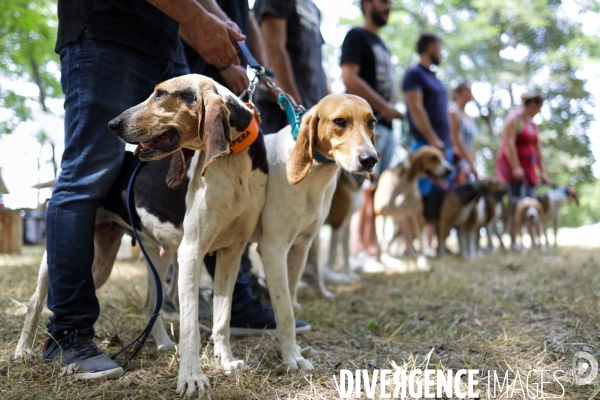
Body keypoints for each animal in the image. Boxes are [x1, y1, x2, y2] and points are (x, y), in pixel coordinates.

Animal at [109, 75, 268, 396]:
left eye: (160, 94)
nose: (113, 124)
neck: (233, 160)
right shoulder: (192, 253)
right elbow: (191, 327)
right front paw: (192, 376)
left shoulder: (232, 254)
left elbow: (222, 318)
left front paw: (226, 361)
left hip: (159, 257)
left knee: (151, 305)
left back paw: (163, 344)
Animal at [256, 94, 378, 372]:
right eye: (340, 121)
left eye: (371, 122)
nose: (370, 159)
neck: (314, 175)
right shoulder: (273, 249)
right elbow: (286, 312)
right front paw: (291, 357)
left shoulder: (300, 248)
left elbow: (289, 300)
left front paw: (289, 349)